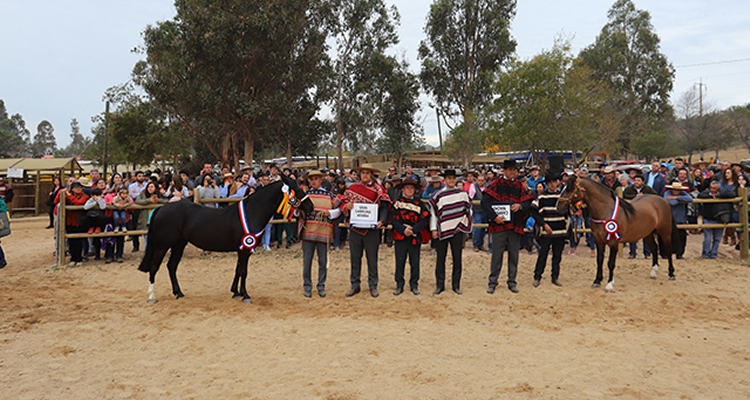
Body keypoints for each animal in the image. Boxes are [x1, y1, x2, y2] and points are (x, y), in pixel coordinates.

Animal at [140, 175, 312, 304]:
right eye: (296, 190)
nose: (310, 207)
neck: (252, 212)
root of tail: (161, 208)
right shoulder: (245, 249)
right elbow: (244, 271)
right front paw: (245, 295)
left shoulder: (242, 247)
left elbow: (238, 270)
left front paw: (235, 292)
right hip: (162, 246)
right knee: (155, 267)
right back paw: (152, 297)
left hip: (178, 245)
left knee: (171, 266)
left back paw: (179, 293)